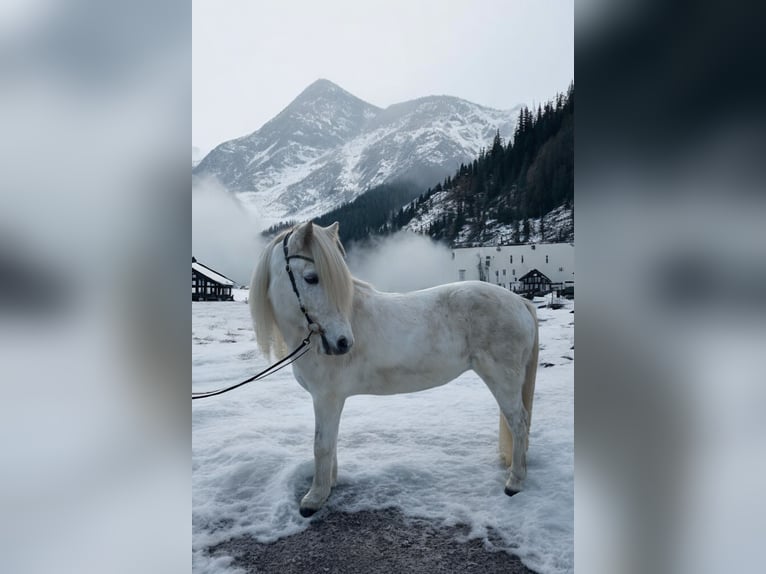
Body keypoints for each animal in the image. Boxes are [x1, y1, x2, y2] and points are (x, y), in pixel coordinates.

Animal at [252, 220, 540, 516]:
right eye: (311, 278)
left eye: (318, 278)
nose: (343, 342)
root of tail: (519, 301)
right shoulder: (331, 401)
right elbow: (330, 442)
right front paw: (330, 484)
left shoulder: (326, 398)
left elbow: (321, 445)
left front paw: (315, 498)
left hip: (503, 381)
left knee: (519, 423)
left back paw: (514, 482)